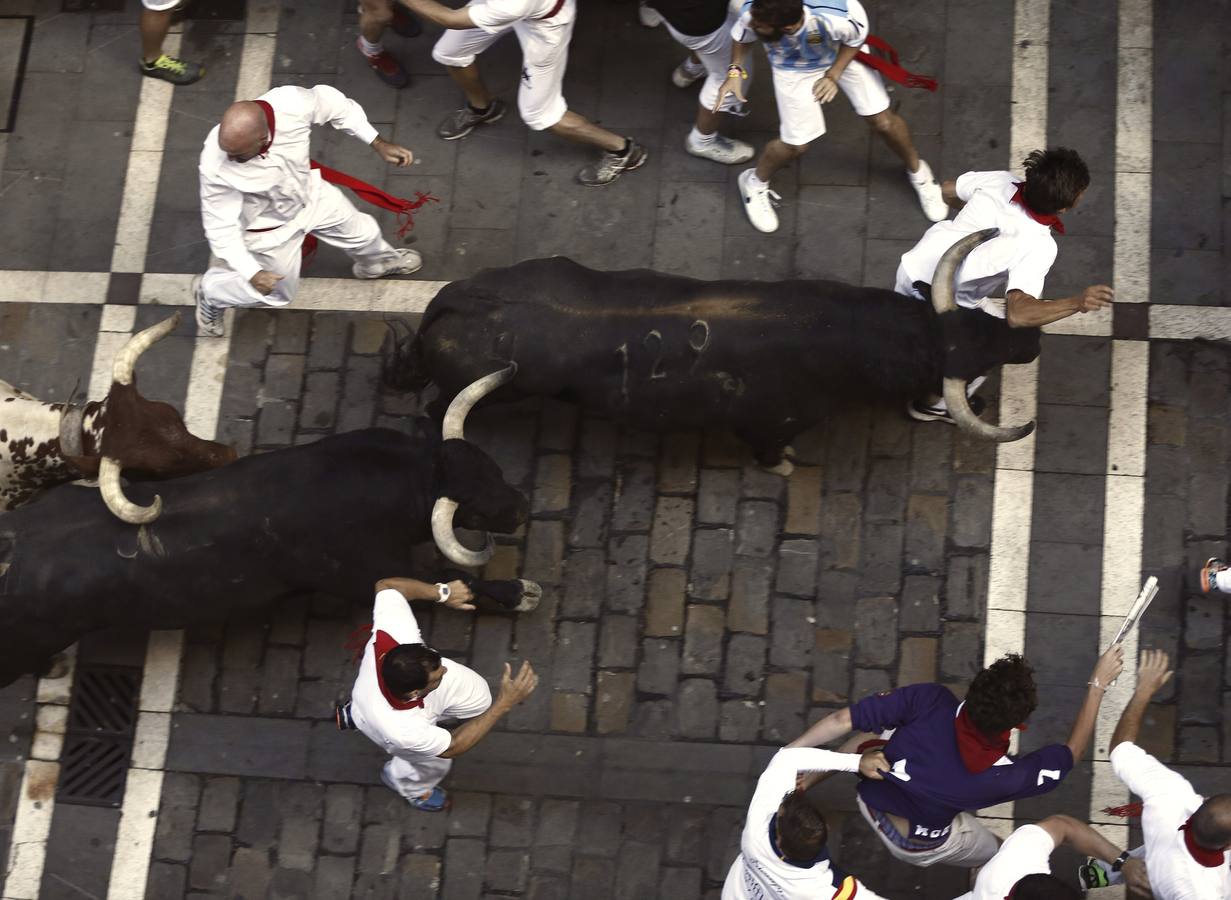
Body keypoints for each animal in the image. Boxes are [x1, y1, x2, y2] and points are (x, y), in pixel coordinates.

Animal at [0, 425, 526, 684]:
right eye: (474, 510)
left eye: (494, 466)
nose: (521, 507)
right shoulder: (365, 575)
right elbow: (448, 580)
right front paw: (518, 591)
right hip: (22, 648)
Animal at [391, 232, 1038, 467]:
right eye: (974, 364)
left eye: (978, 315)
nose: (1028, 339)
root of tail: (454, 302)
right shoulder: (772, 426)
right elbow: (773, 453)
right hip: (484, 395)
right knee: (434, 410)